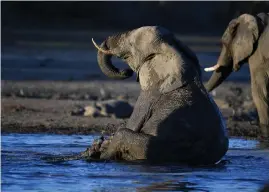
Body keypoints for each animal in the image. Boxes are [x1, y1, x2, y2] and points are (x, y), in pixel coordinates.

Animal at [91, 25, 227, 165]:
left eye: (132, 44)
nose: (126, 72)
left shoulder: (150, 94)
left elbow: (132, 124)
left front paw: (100, 146)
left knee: (123, 134)